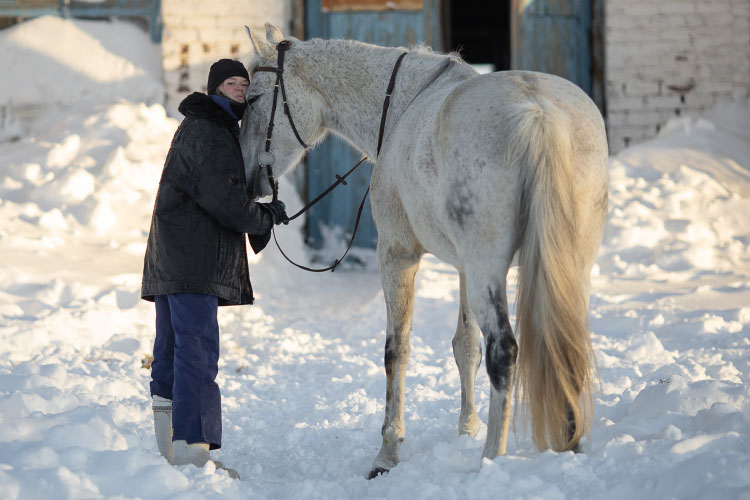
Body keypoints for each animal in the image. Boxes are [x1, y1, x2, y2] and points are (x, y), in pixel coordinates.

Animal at [241, 22, 612, 476]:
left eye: (253, 99)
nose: (249, 183)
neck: (403, 105)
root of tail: (539, 114)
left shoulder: (397, 255)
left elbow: (396, 350)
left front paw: (387, 452)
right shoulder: (464, 268)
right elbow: (465, 346)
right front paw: (466, 428)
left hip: (489, 267)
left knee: (504, 351)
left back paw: (492, 460)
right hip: (566, 265)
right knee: (564, 342)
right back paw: (569, 445)